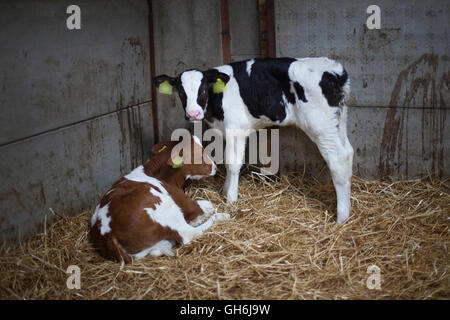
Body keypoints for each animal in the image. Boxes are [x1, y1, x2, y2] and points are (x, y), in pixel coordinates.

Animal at [89, 133, 230, 262]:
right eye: (198, 154)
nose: (215, 167)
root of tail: (106, 232)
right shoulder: (189, 204)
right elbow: (208, 205)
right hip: (166, 207)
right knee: (189, 234)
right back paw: (222, 216)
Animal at [156, 57, 354, 222]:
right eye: (180, 92)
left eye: (203, 88)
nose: (193, 114)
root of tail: (334, 70)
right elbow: (227, 163)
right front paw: (225, 191)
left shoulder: (236, 129)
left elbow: (232, 164)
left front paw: (231, 200)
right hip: (339, 120)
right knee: (348, 153)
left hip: (322, 126)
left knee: (338, 160)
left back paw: (341, 218)